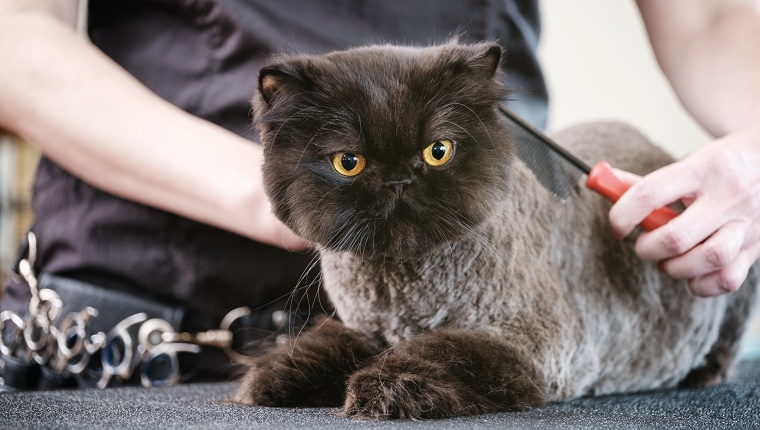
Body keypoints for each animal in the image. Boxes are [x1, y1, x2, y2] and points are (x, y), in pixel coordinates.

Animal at [233, 41, 760, 420]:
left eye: (437, 152)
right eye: (349, 162)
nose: (400, 180)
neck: (401, 294)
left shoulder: (536, 345)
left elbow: (446, 351)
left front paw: (382, 389)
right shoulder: (366, 329)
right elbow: (327, 346)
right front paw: (273, 377)